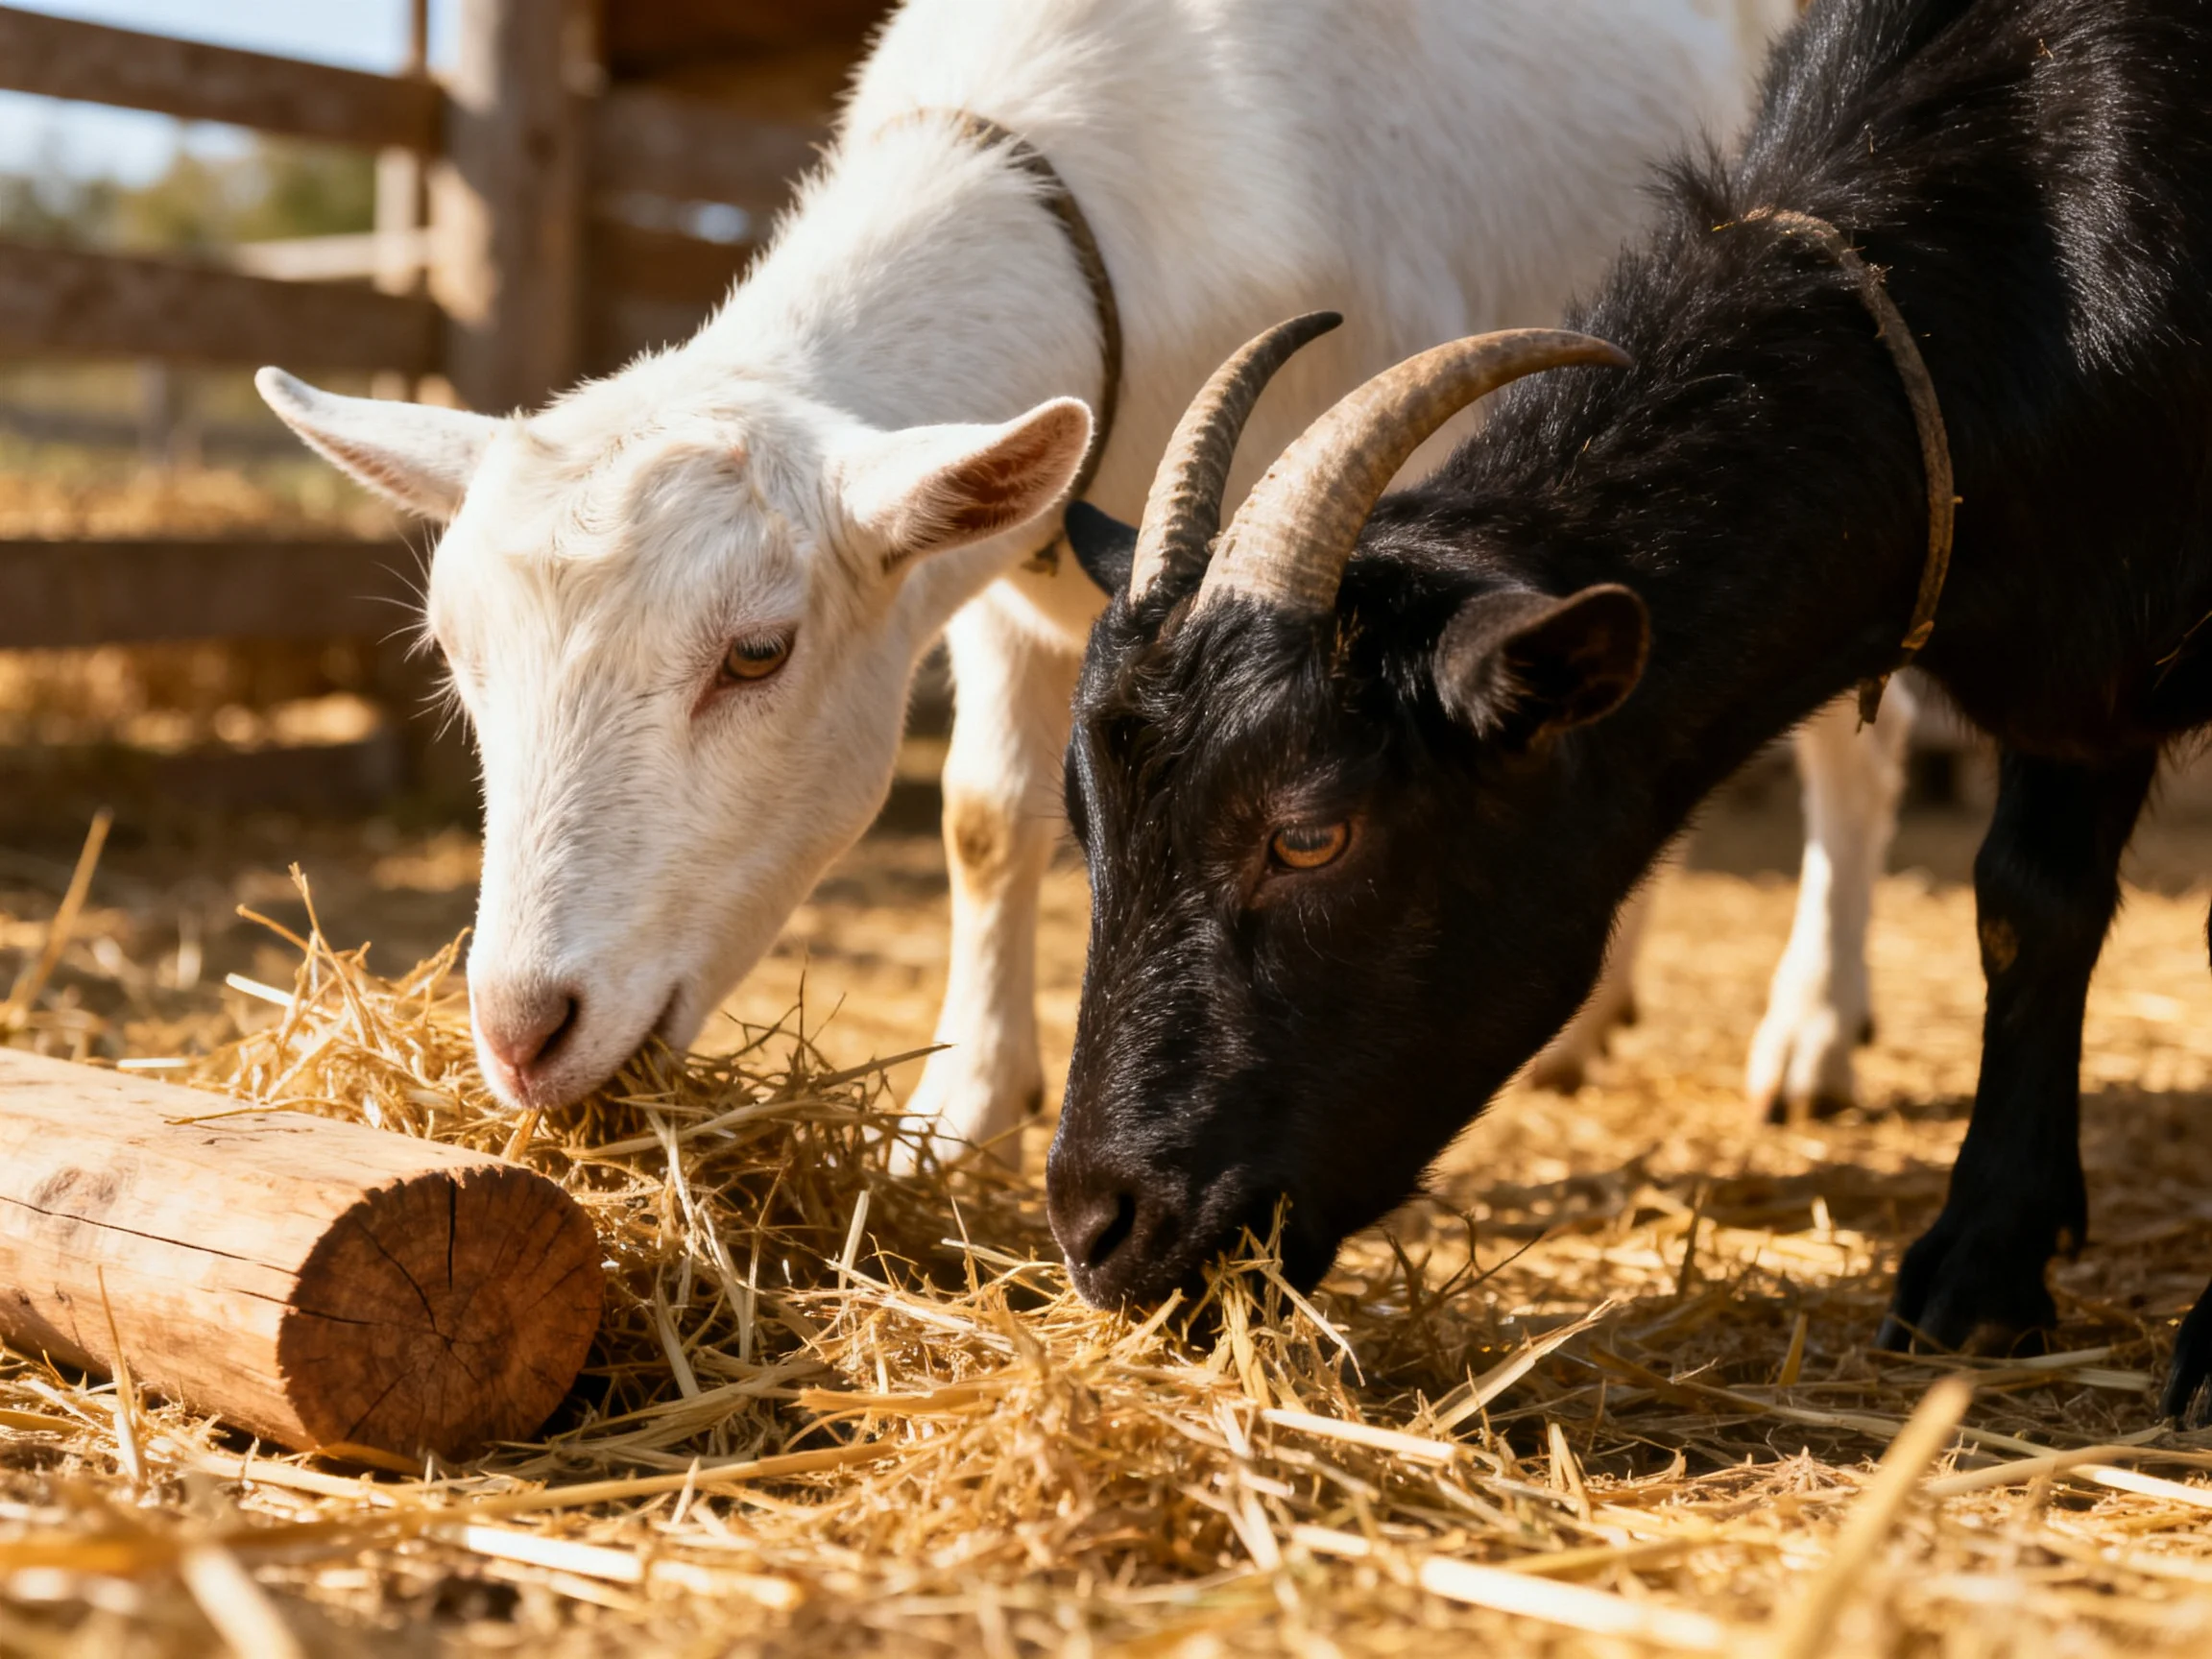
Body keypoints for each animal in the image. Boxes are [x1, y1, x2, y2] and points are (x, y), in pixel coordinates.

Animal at [255, 0, 1814, 1162]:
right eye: (459, 662)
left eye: (758, 653)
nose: (525, 1034)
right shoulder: (1003, 574)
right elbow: (982, 819)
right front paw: (958, 1115)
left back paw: (1812, 1037)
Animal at [1051, 0, 2212, 1423]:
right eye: (1087, 823)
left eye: (1309, 834)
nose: (1097, 1227)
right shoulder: (2072, 673)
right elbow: (2026, 911)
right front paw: (1978, 1270)